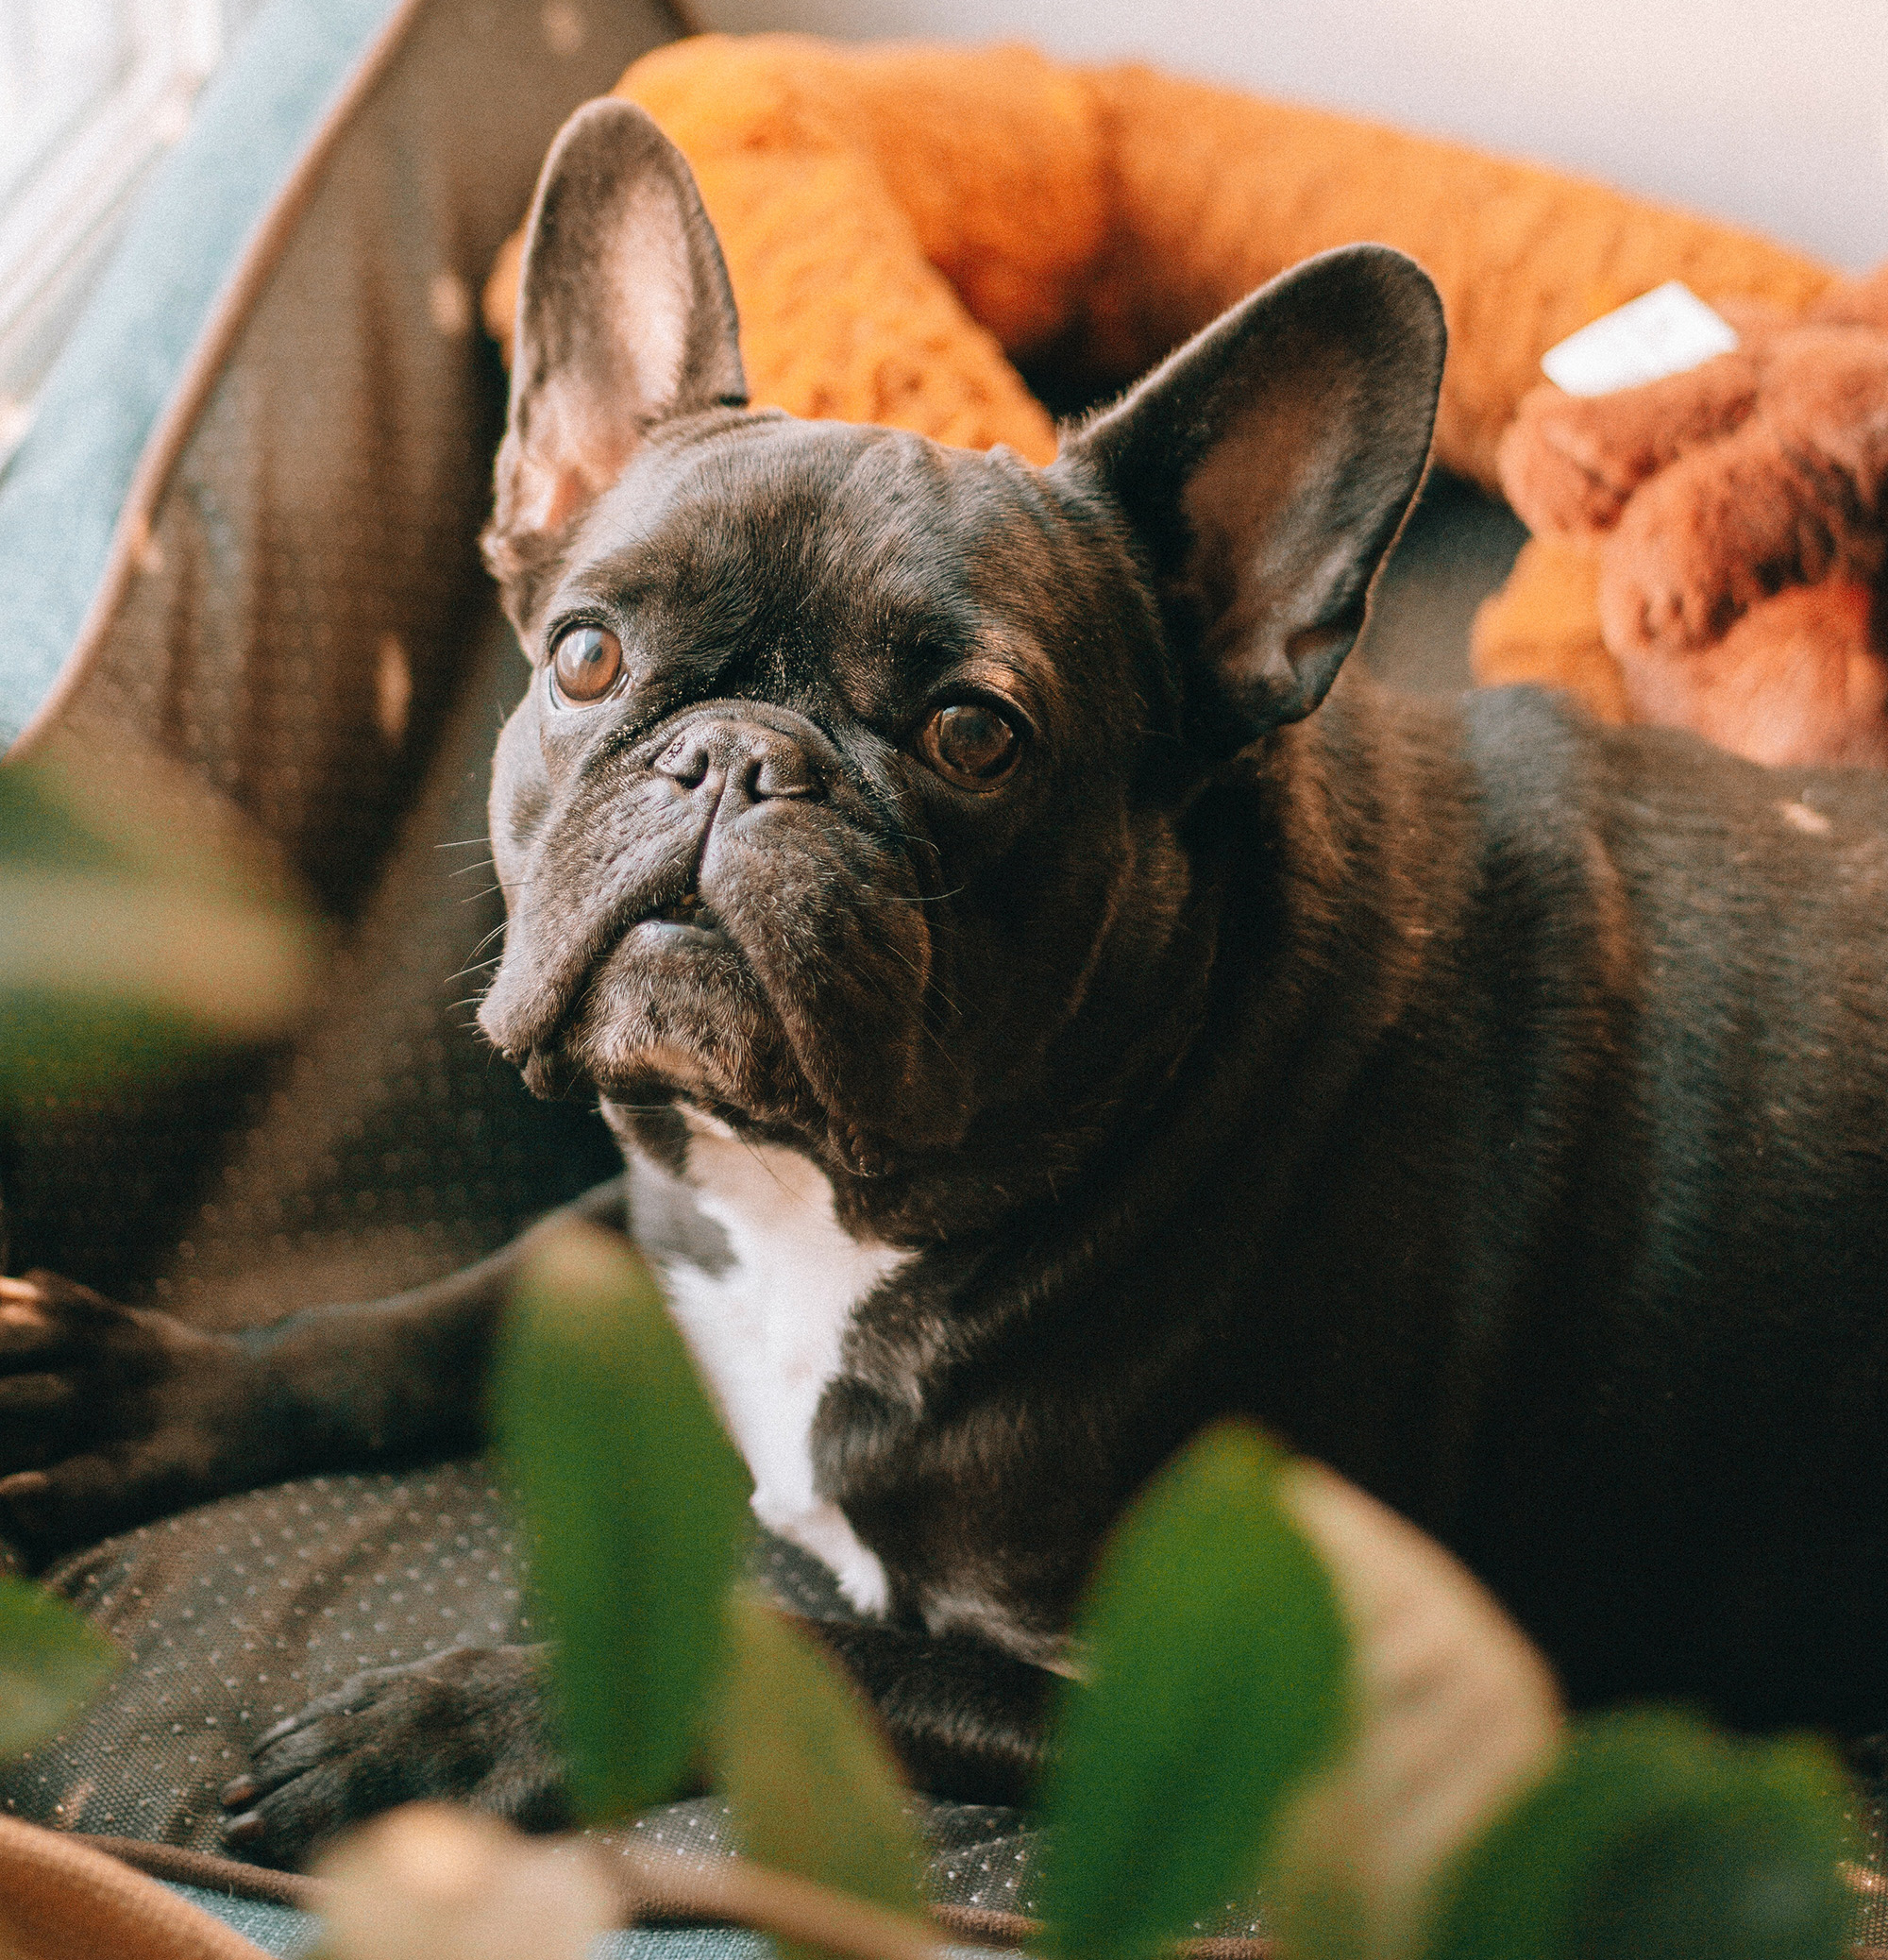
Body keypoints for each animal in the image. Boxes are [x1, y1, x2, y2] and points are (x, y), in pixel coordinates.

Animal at [3, 103, 1888, 1866]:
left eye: (974, 734)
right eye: (586, 655)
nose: (737, 758)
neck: (825, 1204)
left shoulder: (1198, 1696)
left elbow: (794, 1648)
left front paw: (435, 1725)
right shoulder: (656, 1222)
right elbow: (440, 1312)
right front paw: (151, 1386)